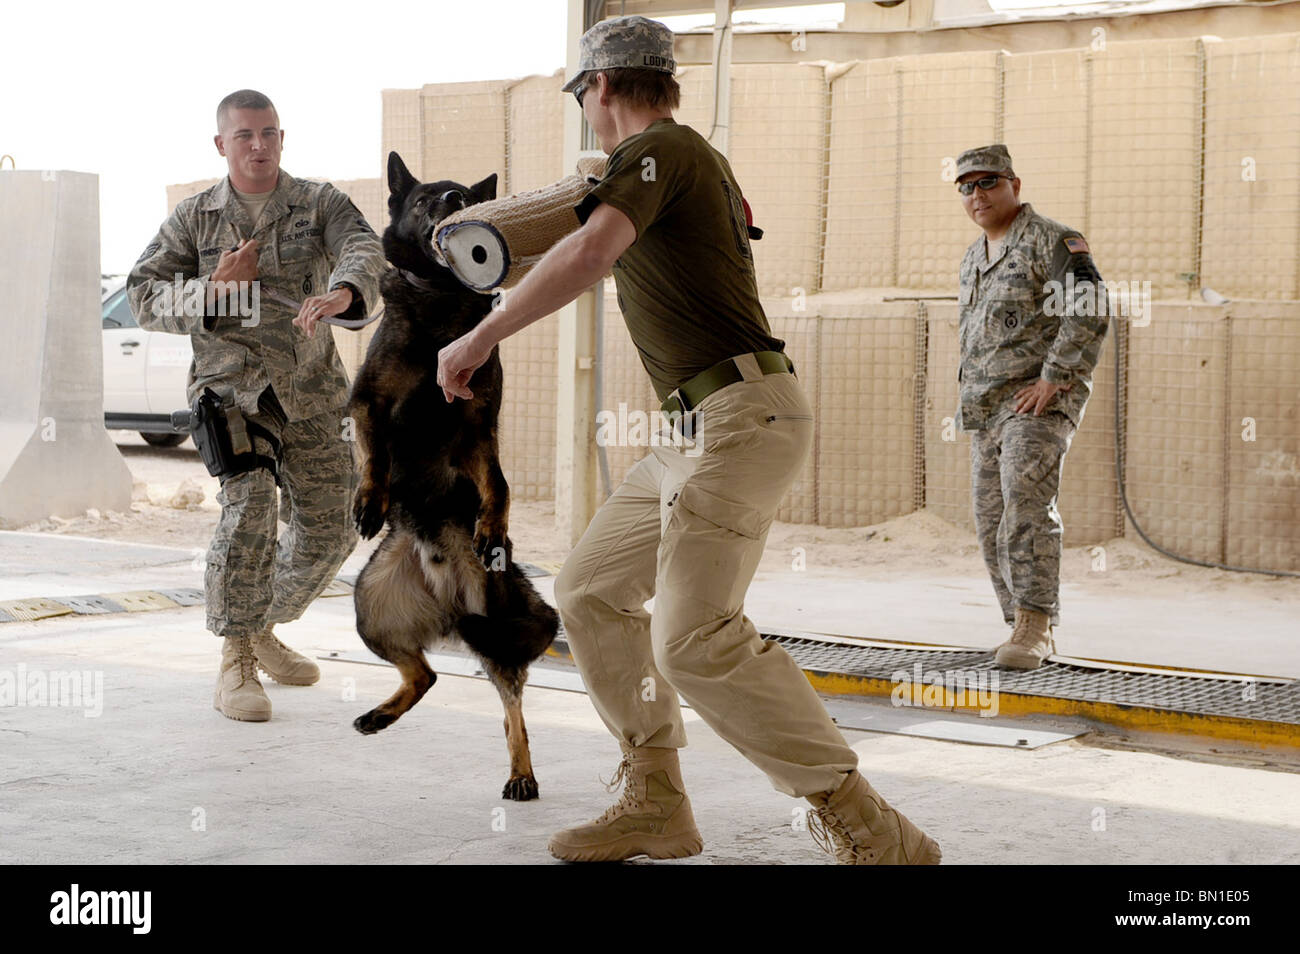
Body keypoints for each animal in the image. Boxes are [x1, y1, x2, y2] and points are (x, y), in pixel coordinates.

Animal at [345, 153, 559, 805]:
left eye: (464, 195)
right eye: (423, 201)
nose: (449, 208)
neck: (440, 304)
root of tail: (443, 598)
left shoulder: (477, 428)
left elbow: (501, 485)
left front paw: (493, 527)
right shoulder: (367, 404)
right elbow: (376, 459)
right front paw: (370, 501)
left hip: (493, 621)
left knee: (511, 707)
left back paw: (521, 773)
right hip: (370, 608)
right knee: (427, 674)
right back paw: (380, 714)